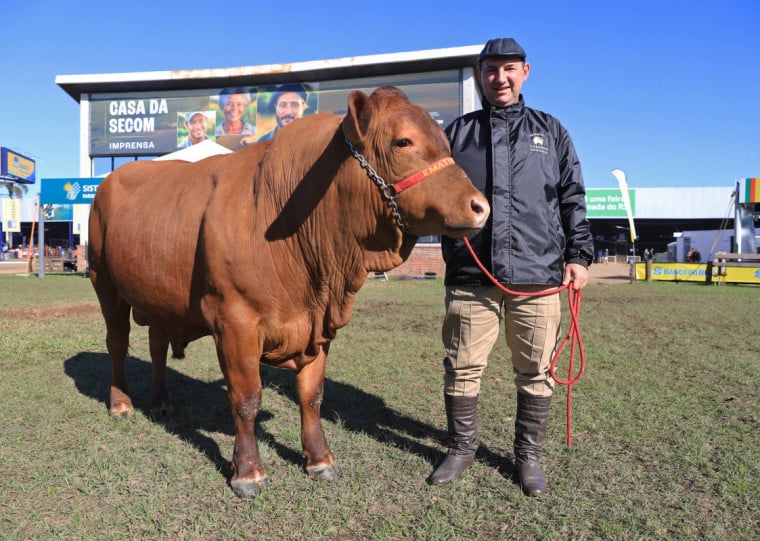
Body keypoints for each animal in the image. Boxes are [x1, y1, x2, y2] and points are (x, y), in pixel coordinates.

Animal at [89, 85, 490, 498]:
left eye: (445, 141)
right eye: (403, 141)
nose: (480, 206)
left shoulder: (317, 324)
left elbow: (312, 394)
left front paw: (320, 459)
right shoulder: (234, 319)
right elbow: (246, 398)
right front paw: (247, 472)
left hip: (158, 297)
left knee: (156, 345)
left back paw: (161, 402)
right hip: (104, 282)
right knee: (117, 343)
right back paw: (121, 403)